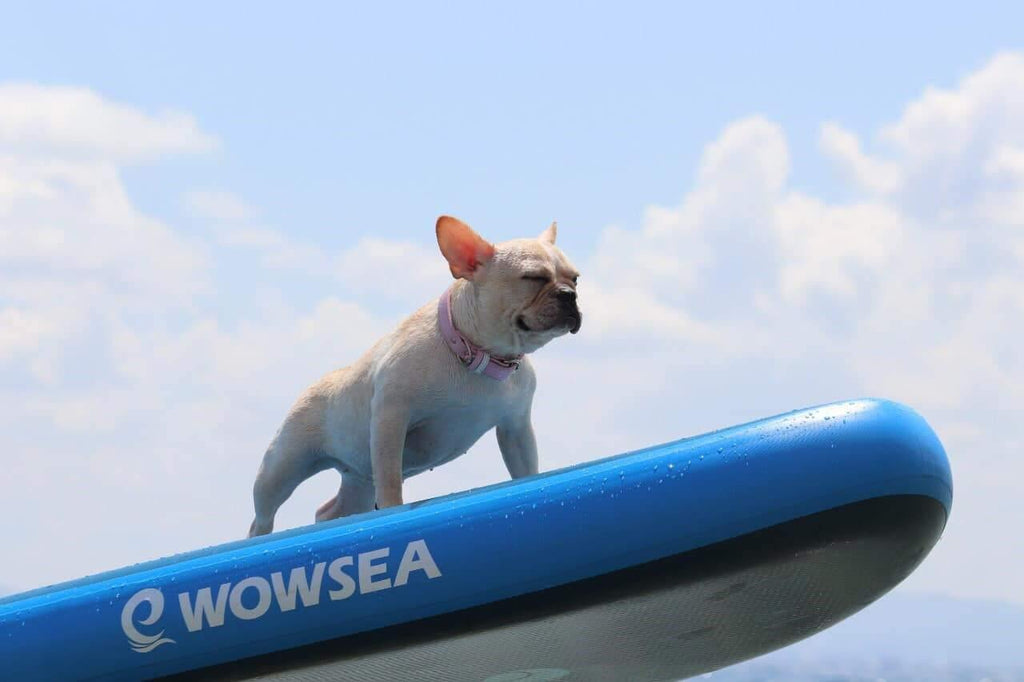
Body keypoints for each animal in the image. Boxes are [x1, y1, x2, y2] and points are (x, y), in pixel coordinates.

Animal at [247, 215, 581, 532]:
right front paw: (393, 511)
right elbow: (391, 481)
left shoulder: (515, 428)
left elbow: (525, 470)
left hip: (359, 480)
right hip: (282, 466)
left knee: (331, 510)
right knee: (264, 513)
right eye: (533, 278)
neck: (480, 353)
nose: (569, 294)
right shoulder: (390, 419)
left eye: (575, 278)